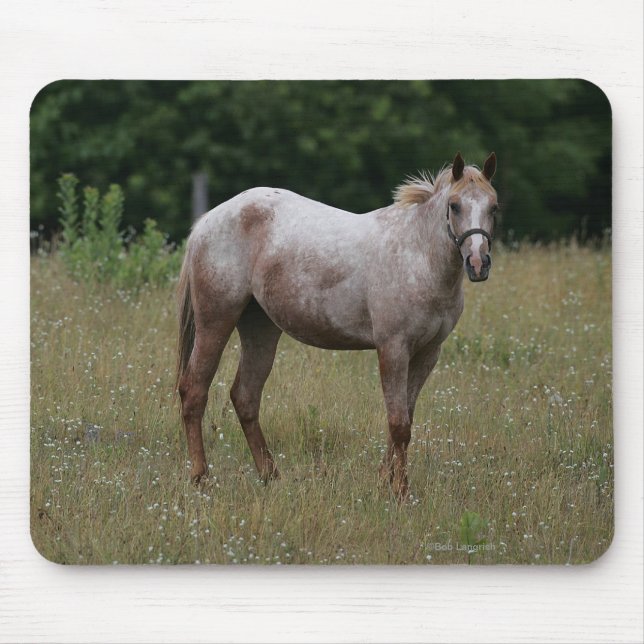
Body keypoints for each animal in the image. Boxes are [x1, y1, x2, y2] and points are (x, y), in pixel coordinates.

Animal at [176, 152, 498, 499]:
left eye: (494, 207)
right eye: (454, 205)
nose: (478, 264)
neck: (418, 256)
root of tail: (207, 221)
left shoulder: (428, 353)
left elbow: (405, 419)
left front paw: (384, 479)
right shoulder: (393, 349)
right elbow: (399, 423)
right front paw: (399, 491)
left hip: (260, 328)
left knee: (245, 397)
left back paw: (270, 476)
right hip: (215, 321)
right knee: (194, 390)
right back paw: (201, 478)